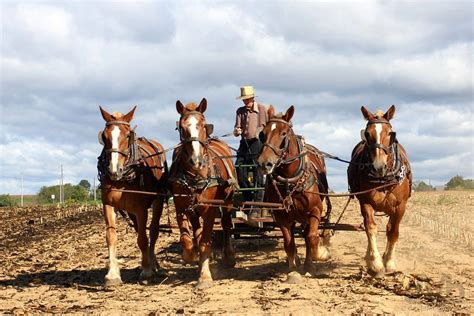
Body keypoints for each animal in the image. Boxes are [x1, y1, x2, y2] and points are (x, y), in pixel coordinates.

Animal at [97, 106, 168, 286]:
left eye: (128, 135)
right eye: (104, 136)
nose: (114, 170)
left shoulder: (141, 208)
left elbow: (143, 239)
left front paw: (147, 272)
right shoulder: (108, 205)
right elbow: (111, 237)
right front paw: (112, 274)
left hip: (157, 201)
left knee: (153, 232)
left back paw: (152, 264)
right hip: (130, 210)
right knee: (138, 229)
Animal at [168, 98, 239, 288]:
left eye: (202, 123)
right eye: (181, 127)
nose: (196, 161)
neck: (195, 176)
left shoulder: (209, 209)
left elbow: (205, 241)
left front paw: (205, 276)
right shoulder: (180, 208)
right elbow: (187, 239)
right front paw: (191, 256)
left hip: (227, 202)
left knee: (227, 224)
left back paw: (229, 256)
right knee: (197, 232)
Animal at [258, 105, 332, 284]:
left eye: (284, 133)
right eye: (262, 134)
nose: (264, 163)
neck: (290, 180)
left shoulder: (314, 211)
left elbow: (312, 237)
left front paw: (320, 255)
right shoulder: (281, 217)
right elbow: (288, 243)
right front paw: (293, 270)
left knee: (307, 235)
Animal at [346, 105, 412, 276]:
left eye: (390, 133)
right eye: (367, 133)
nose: (378, 166)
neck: (383, 178)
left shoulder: (400, 206)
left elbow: (393, 232)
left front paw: (389, 262)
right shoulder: (365, 202)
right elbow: (370, 228)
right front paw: (375, 263)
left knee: (389, 229)